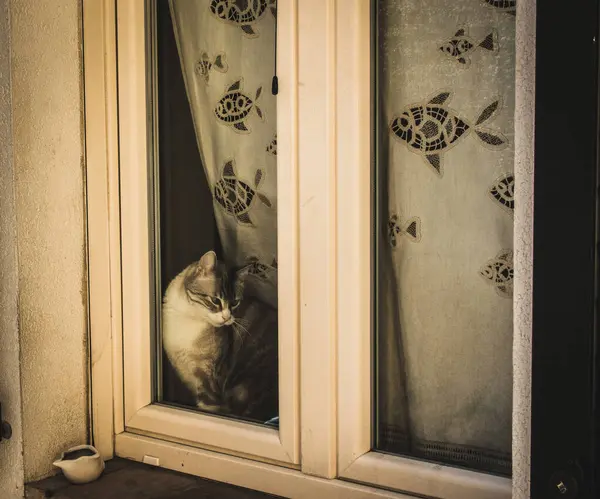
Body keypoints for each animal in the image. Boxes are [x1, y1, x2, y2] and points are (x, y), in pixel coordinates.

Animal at [162, 250, 278, 422]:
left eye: (235, 303)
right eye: (215, 300)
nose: (226, 317)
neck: (191, 319)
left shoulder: (209, 379)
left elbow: (210, 406)